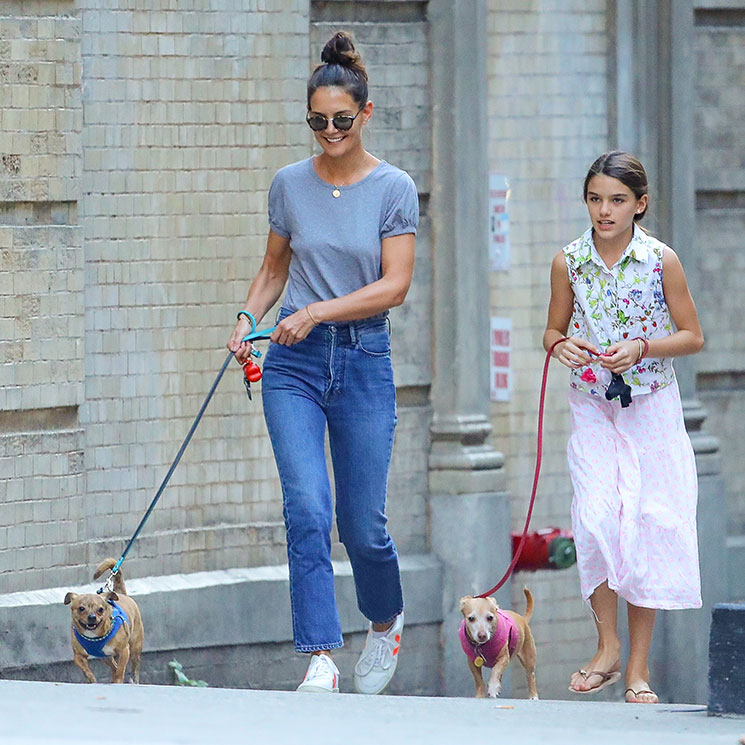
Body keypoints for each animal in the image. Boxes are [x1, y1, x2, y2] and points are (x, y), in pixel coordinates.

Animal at [65, 556, 145, 684]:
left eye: (101, 609)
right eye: (81, 608)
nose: (92, 617)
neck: (94, 635)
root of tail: (121, 593)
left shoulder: (124, 651)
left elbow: (121, 670)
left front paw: (118, 681)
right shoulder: (78, 656)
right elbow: (85, 670)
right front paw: (91, 678)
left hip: (135, 648)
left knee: (133, 667)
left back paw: (133, 679)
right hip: (104, 657)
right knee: (114, 666)